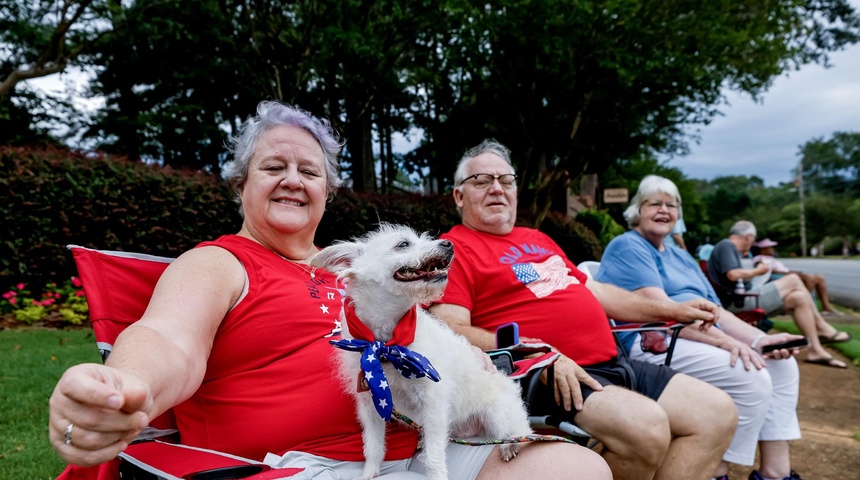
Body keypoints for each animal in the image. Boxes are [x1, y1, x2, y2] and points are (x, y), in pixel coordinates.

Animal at [312, 223, 536, 480]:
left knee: (519, 431)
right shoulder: (372, 404)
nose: (448, 244)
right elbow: (374, 446)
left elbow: (434, 456)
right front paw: (369, 473)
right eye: (403, 244)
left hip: (498, 414)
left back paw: (509, 444)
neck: (387, 346)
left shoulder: (433, 403)